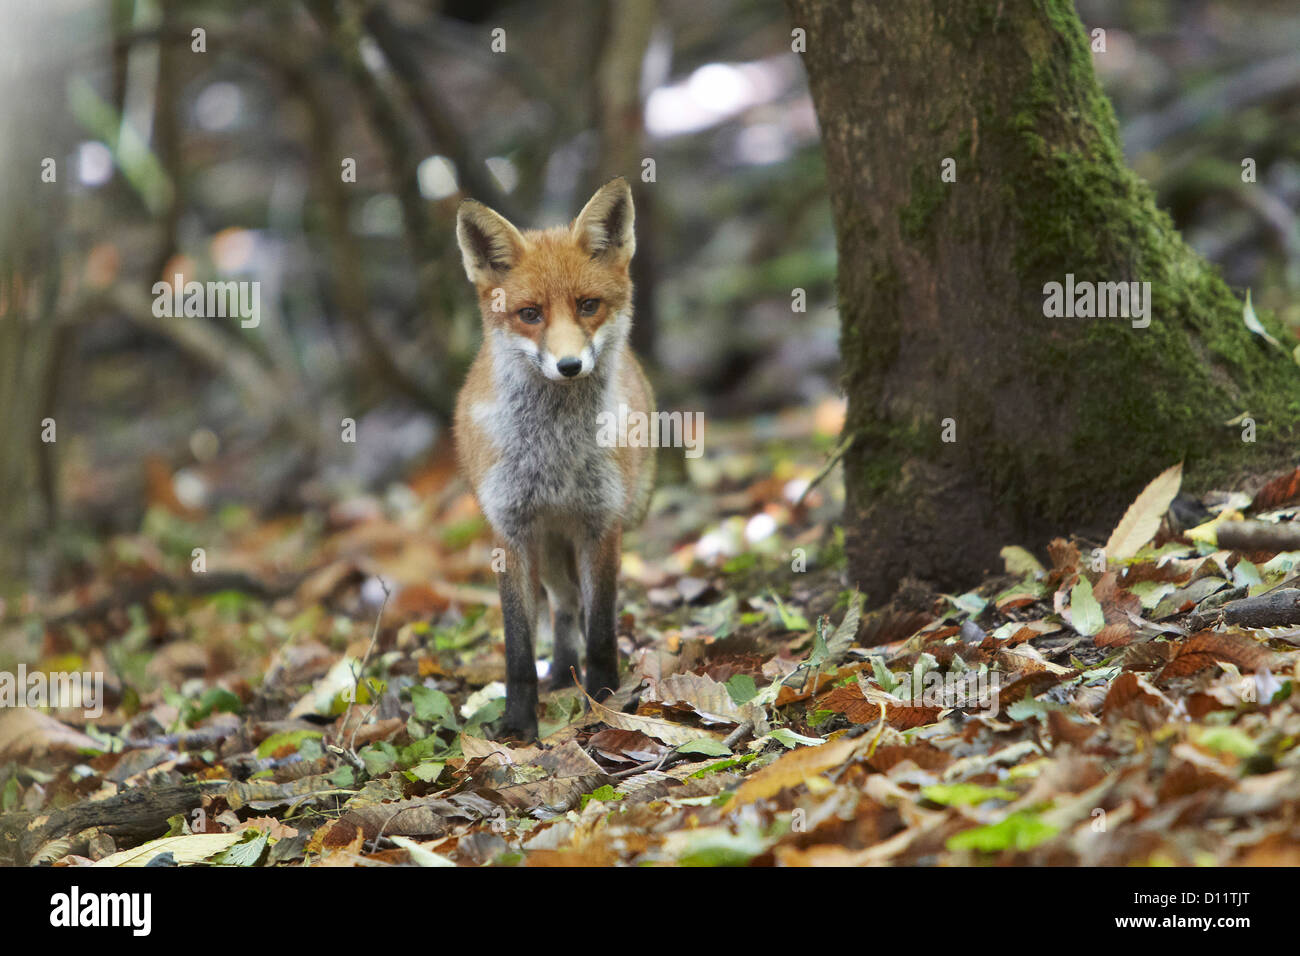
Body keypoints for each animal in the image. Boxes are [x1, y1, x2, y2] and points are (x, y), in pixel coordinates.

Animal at [457, 179, 660, 743]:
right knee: (565, 603)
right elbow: (518, 646)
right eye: (530, 314)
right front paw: (518, 724)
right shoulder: (511, 531)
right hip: (547, 547)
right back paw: (560, 670)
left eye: (588, 305)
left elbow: (603, 629)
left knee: (581, 605)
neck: (555, 456)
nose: (569, 365)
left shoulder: (600, 522)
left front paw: (605, 698)